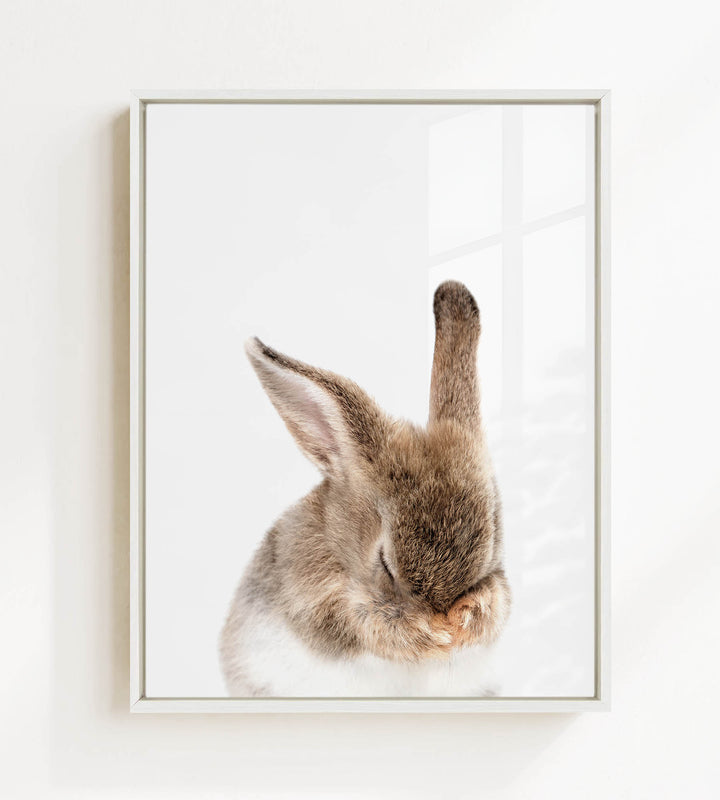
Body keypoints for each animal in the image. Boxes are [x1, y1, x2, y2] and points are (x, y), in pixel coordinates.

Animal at [219, 281, 511, 697]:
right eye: (384, 562)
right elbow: (365, 624)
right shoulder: (321, 605)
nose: (444, 615)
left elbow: (496, 603)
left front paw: (465, 622)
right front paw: (431, 634)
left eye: (492, 541)